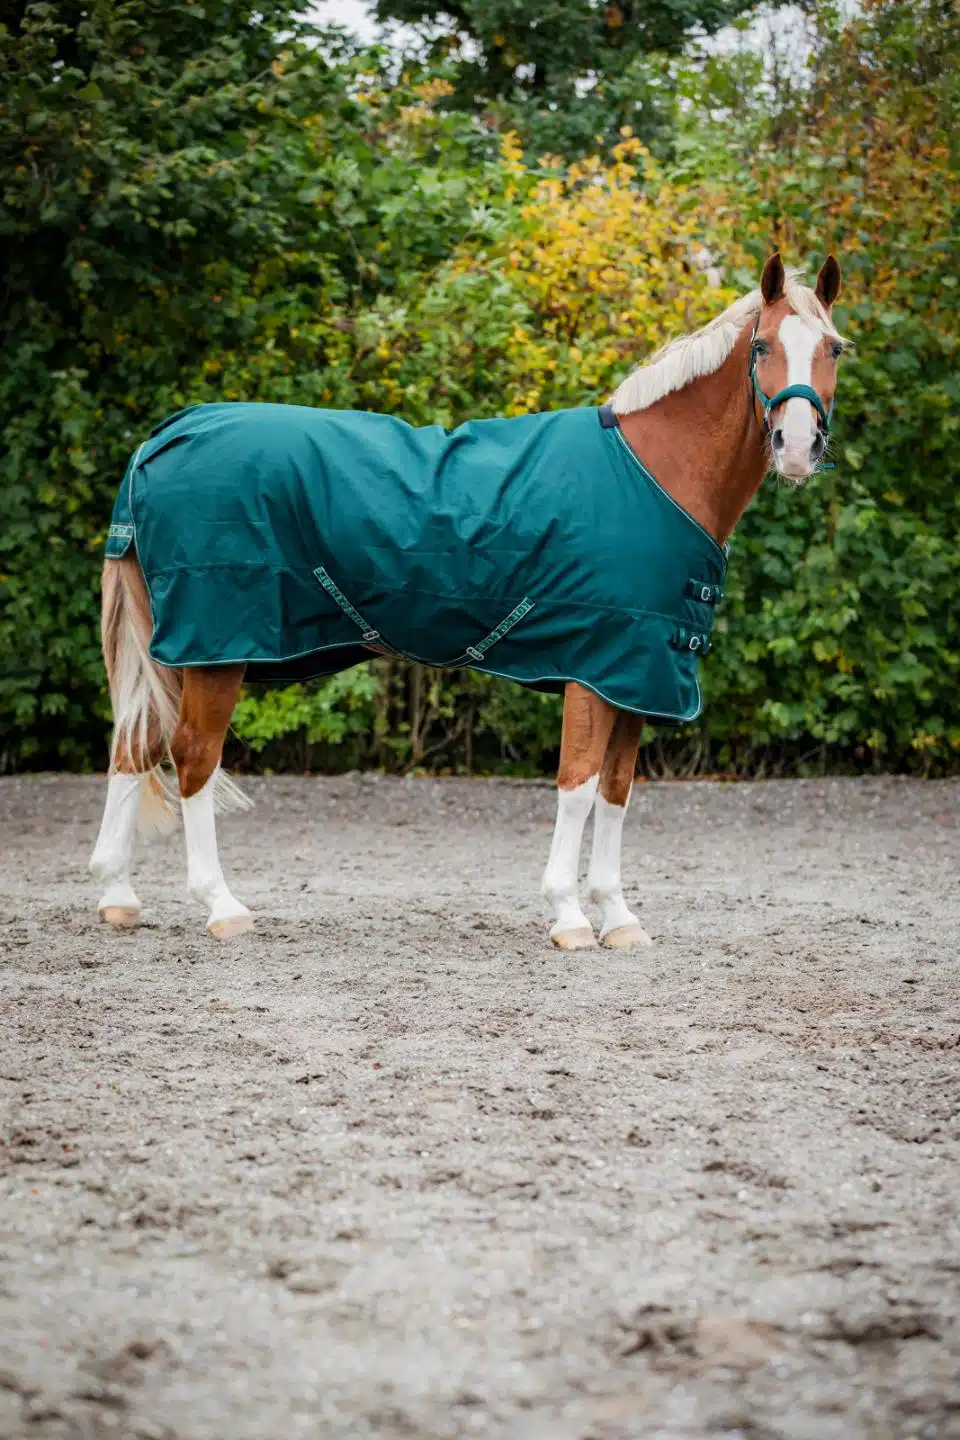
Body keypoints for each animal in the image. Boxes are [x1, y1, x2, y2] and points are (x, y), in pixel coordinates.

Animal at [89, 251, 845, 946]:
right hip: (214, 648)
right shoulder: (596, 664)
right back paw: (220, 906)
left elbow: (616, 791)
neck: (654, 472)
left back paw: (118, 896)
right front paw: (569, 916)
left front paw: (618, 917)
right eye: (761, 346)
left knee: (133, 744)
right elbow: (577, 785)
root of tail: (165, 436)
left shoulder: (640, 673)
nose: (797, 446)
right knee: (193, 758)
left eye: (834, 347)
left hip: (178, 647)